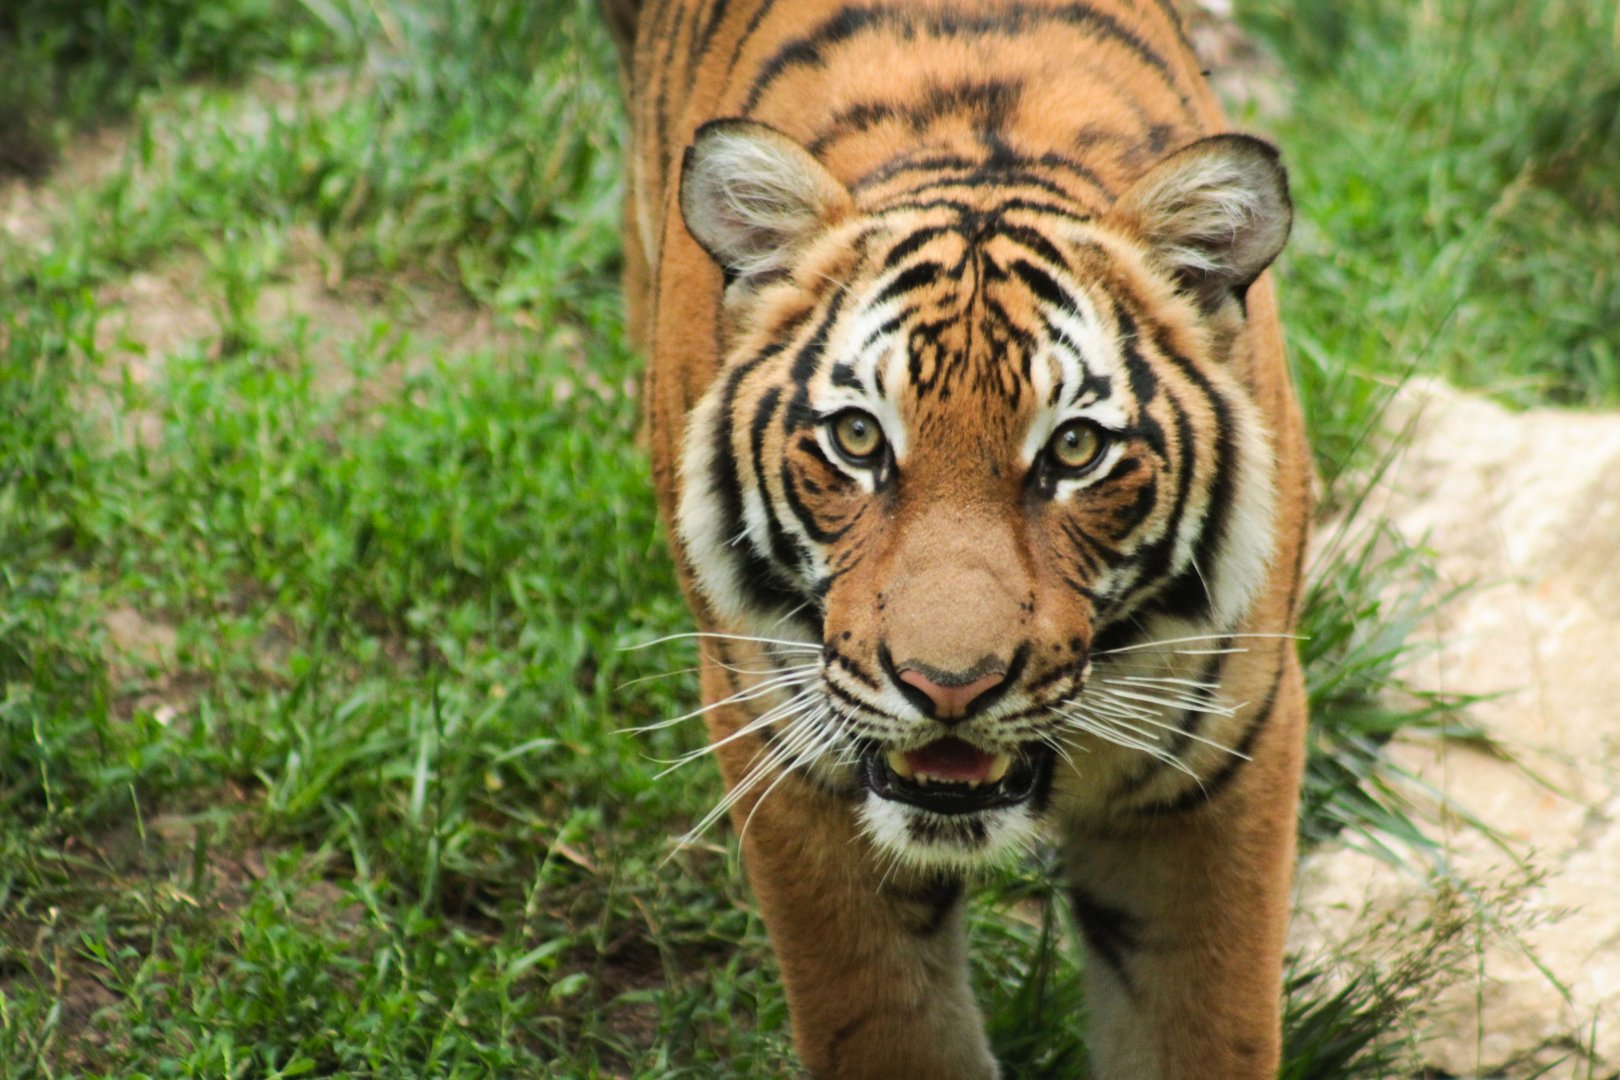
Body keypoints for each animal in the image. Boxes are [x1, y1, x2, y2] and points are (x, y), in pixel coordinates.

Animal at [602, 1, 1312, 1076]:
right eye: (858, 439)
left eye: (1073, 449)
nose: (948, 689)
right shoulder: (787, 750)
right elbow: (885, 1024)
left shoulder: (1224, 769)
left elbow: (1203, 1026)